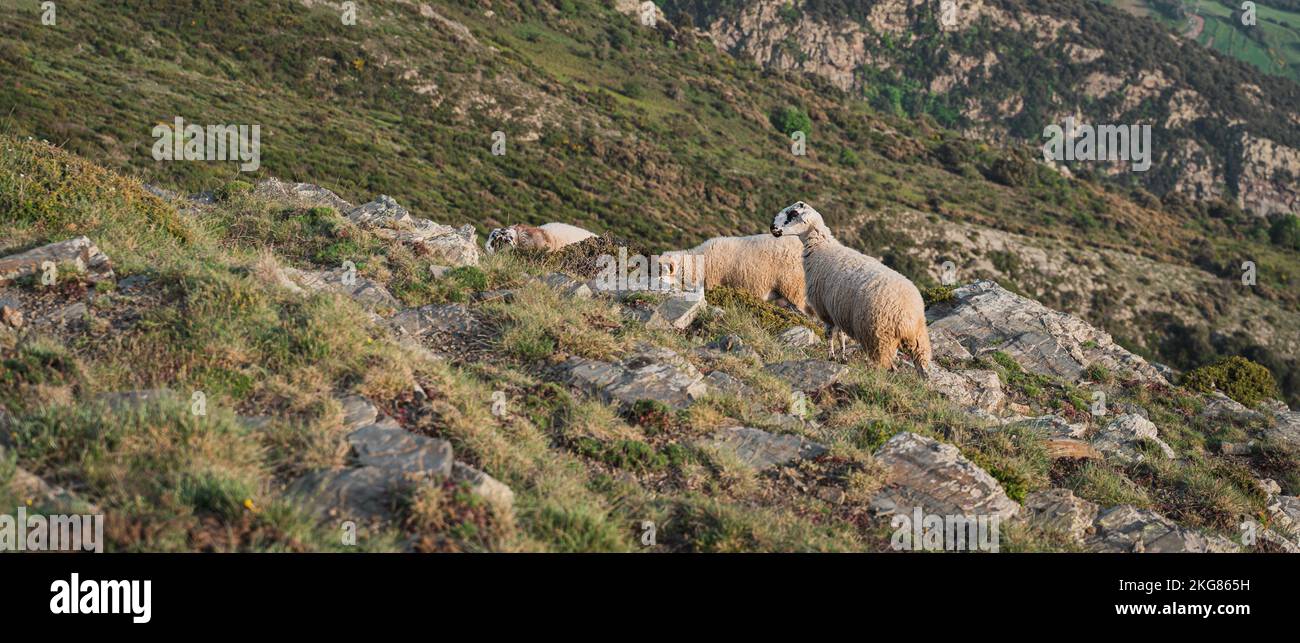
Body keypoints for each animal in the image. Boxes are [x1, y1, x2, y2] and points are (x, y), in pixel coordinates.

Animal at [770, 201, 931, 373]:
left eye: (793, 213)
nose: (772, 227)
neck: (820, 248)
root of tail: (909, 317)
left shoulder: (824, 309)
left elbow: (829, 334)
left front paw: (831, 356)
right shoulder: (838, 309)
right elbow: (841, 335)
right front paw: (843, 357)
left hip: (880, 338)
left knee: (889, 366)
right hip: (919, 342)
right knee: (922, 369)